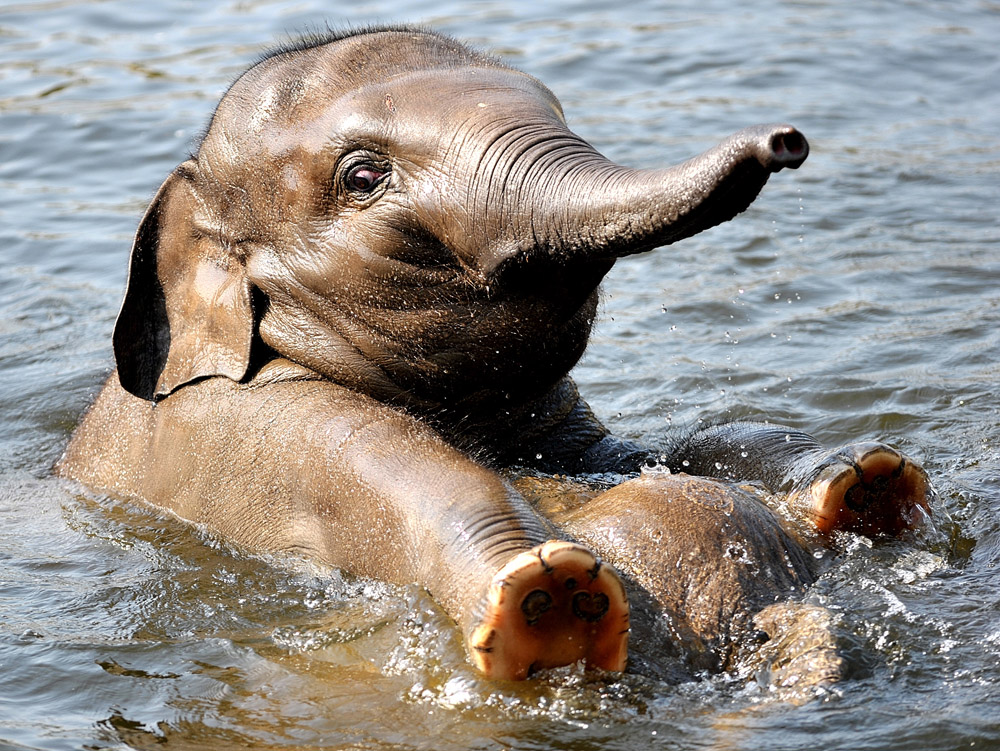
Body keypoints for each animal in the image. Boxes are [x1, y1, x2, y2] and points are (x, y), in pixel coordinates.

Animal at [54, 26, 928, 684]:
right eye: (363, 176)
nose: (787, 139)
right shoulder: (258, 424)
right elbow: (422, 478)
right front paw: (549, 591)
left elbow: (648, 449)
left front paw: (864, 479)